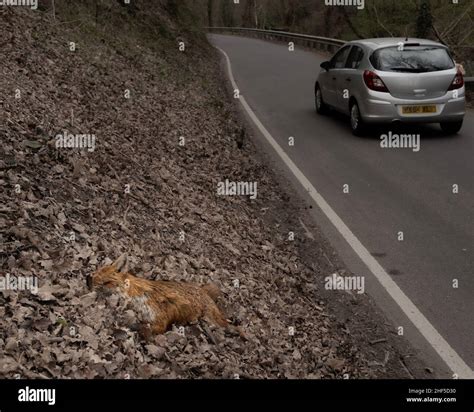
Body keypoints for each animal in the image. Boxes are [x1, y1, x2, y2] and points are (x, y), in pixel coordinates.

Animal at [87, 254, 243, 338]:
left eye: (107, 282)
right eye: (94, 276)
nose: (88, 281)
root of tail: (202, 289)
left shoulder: (159, 319)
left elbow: (142, 327)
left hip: (212, 319)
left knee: (230, 326)